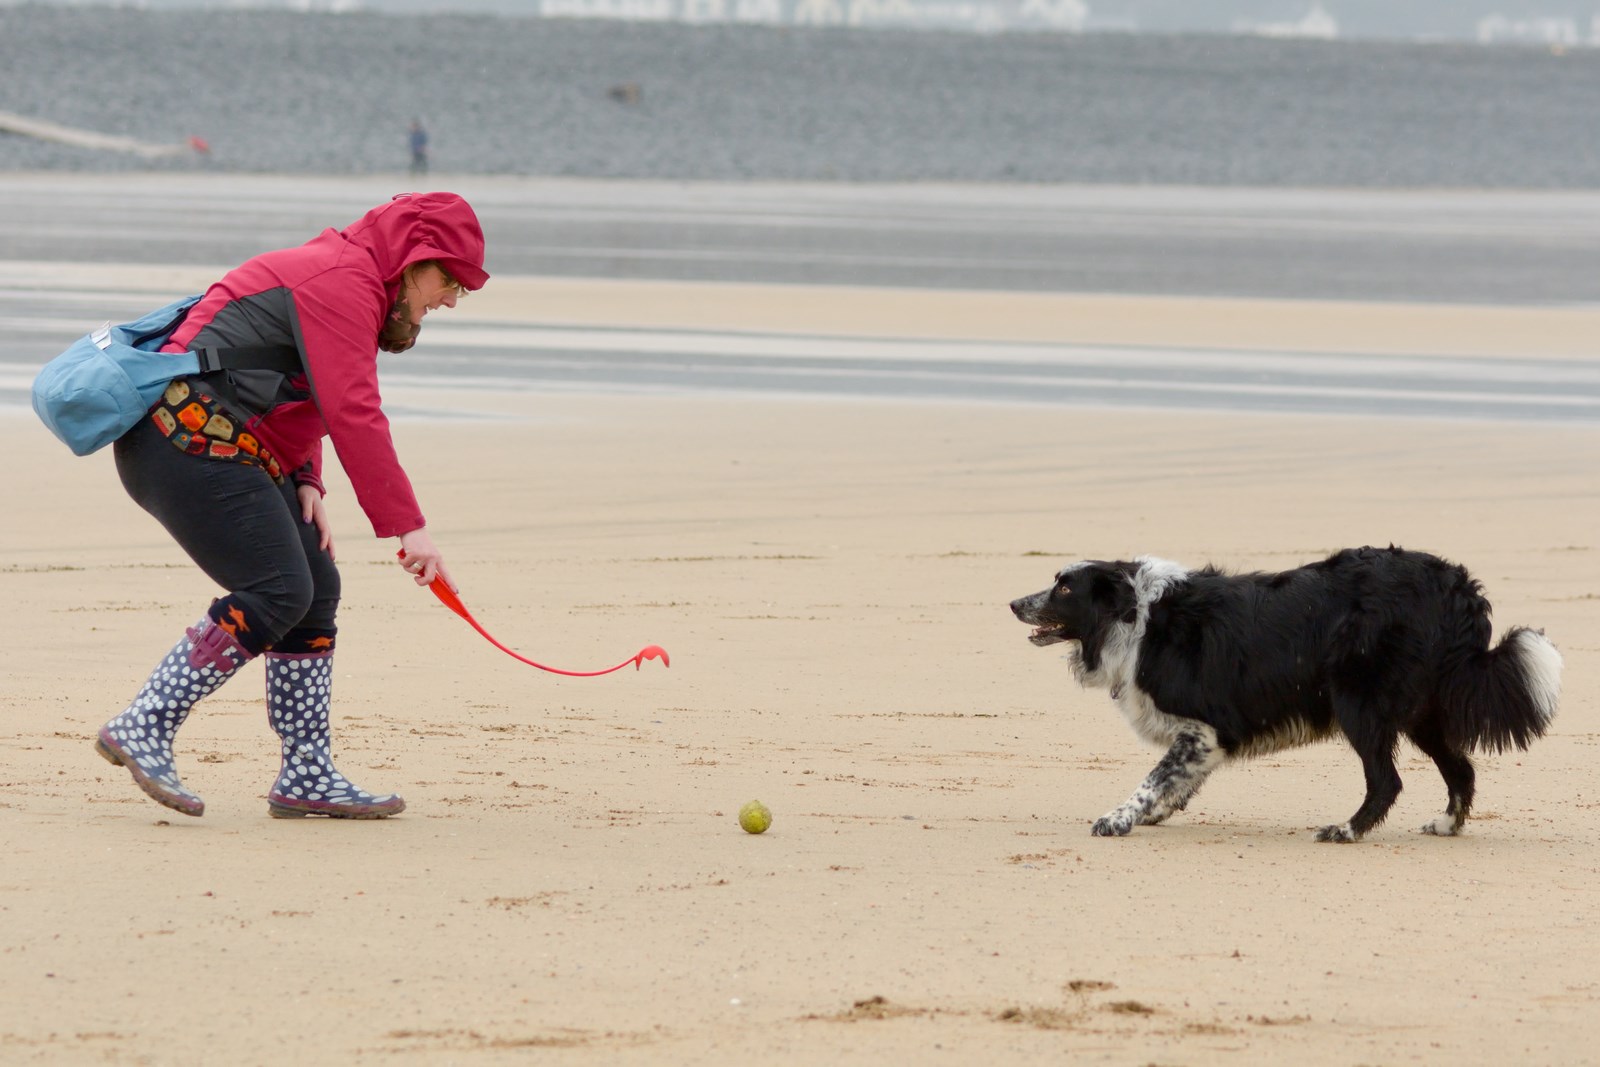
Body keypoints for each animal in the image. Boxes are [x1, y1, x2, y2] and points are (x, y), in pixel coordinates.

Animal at [1011, 550, 1561, 844]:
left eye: (1063, 589)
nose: (1015, 603)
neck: (1136, 616)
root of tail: (1458, 589)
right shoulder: (1206, 738)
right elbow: (1175, 779)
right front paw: (1154, 813)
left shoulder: (1203, 727)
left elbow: (1153, 778)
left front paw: (1120, 817)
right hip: (1420, 711)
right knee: (1461, 769)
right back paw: (1446, 824)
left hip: (1359, 705)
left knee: (1387, 780)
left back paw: (1346, 831)